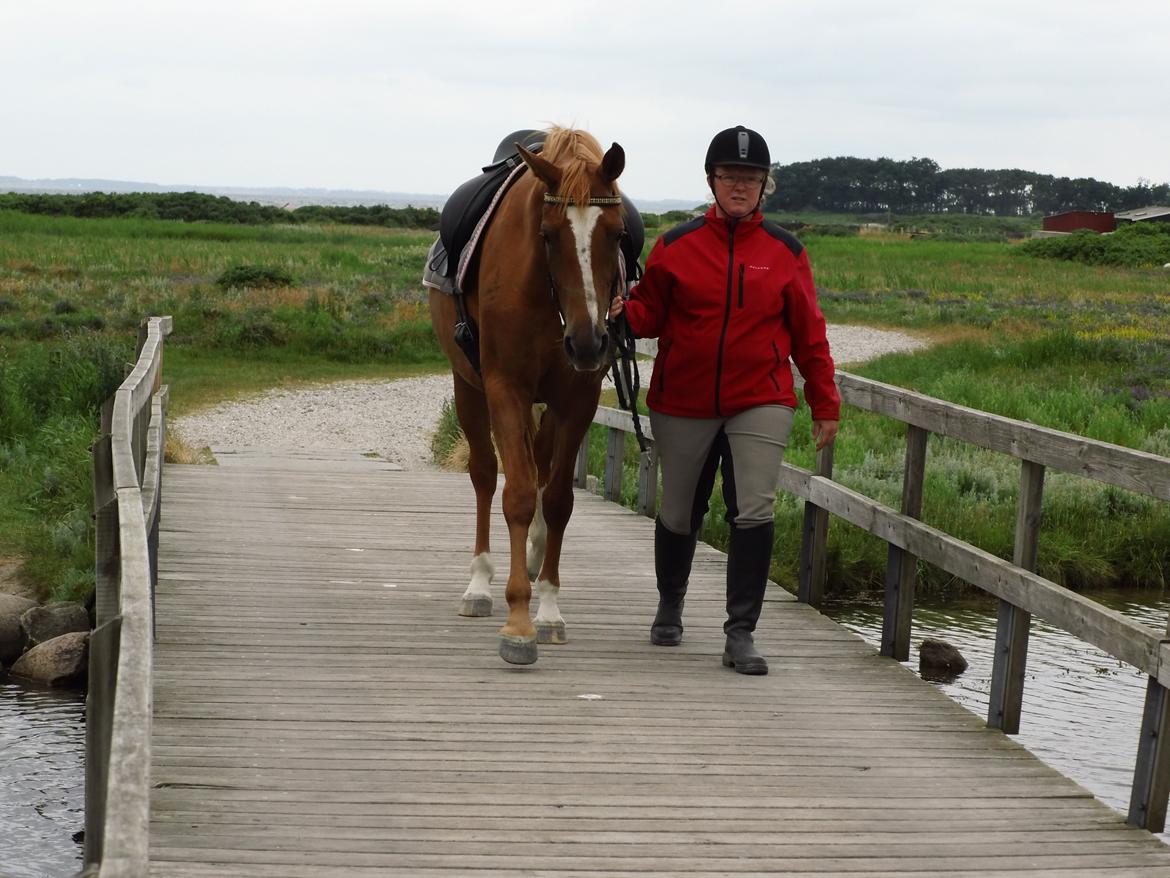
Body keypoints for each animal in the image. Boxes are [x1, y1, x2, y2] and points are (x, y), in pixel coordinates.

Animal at [430, 128, 627, 664]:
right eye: (549, 234)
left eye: (617, 233)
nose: (587, 342)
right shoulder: (505, 389)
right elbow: (514, 493)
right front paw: (518, 622)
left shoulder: (577, 400)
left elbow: (557, 500)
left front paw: (550, 611)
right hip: (468, 386)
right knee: (484, 474)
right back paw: (479, 584)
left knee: (540, 465)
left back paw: (536, 557)